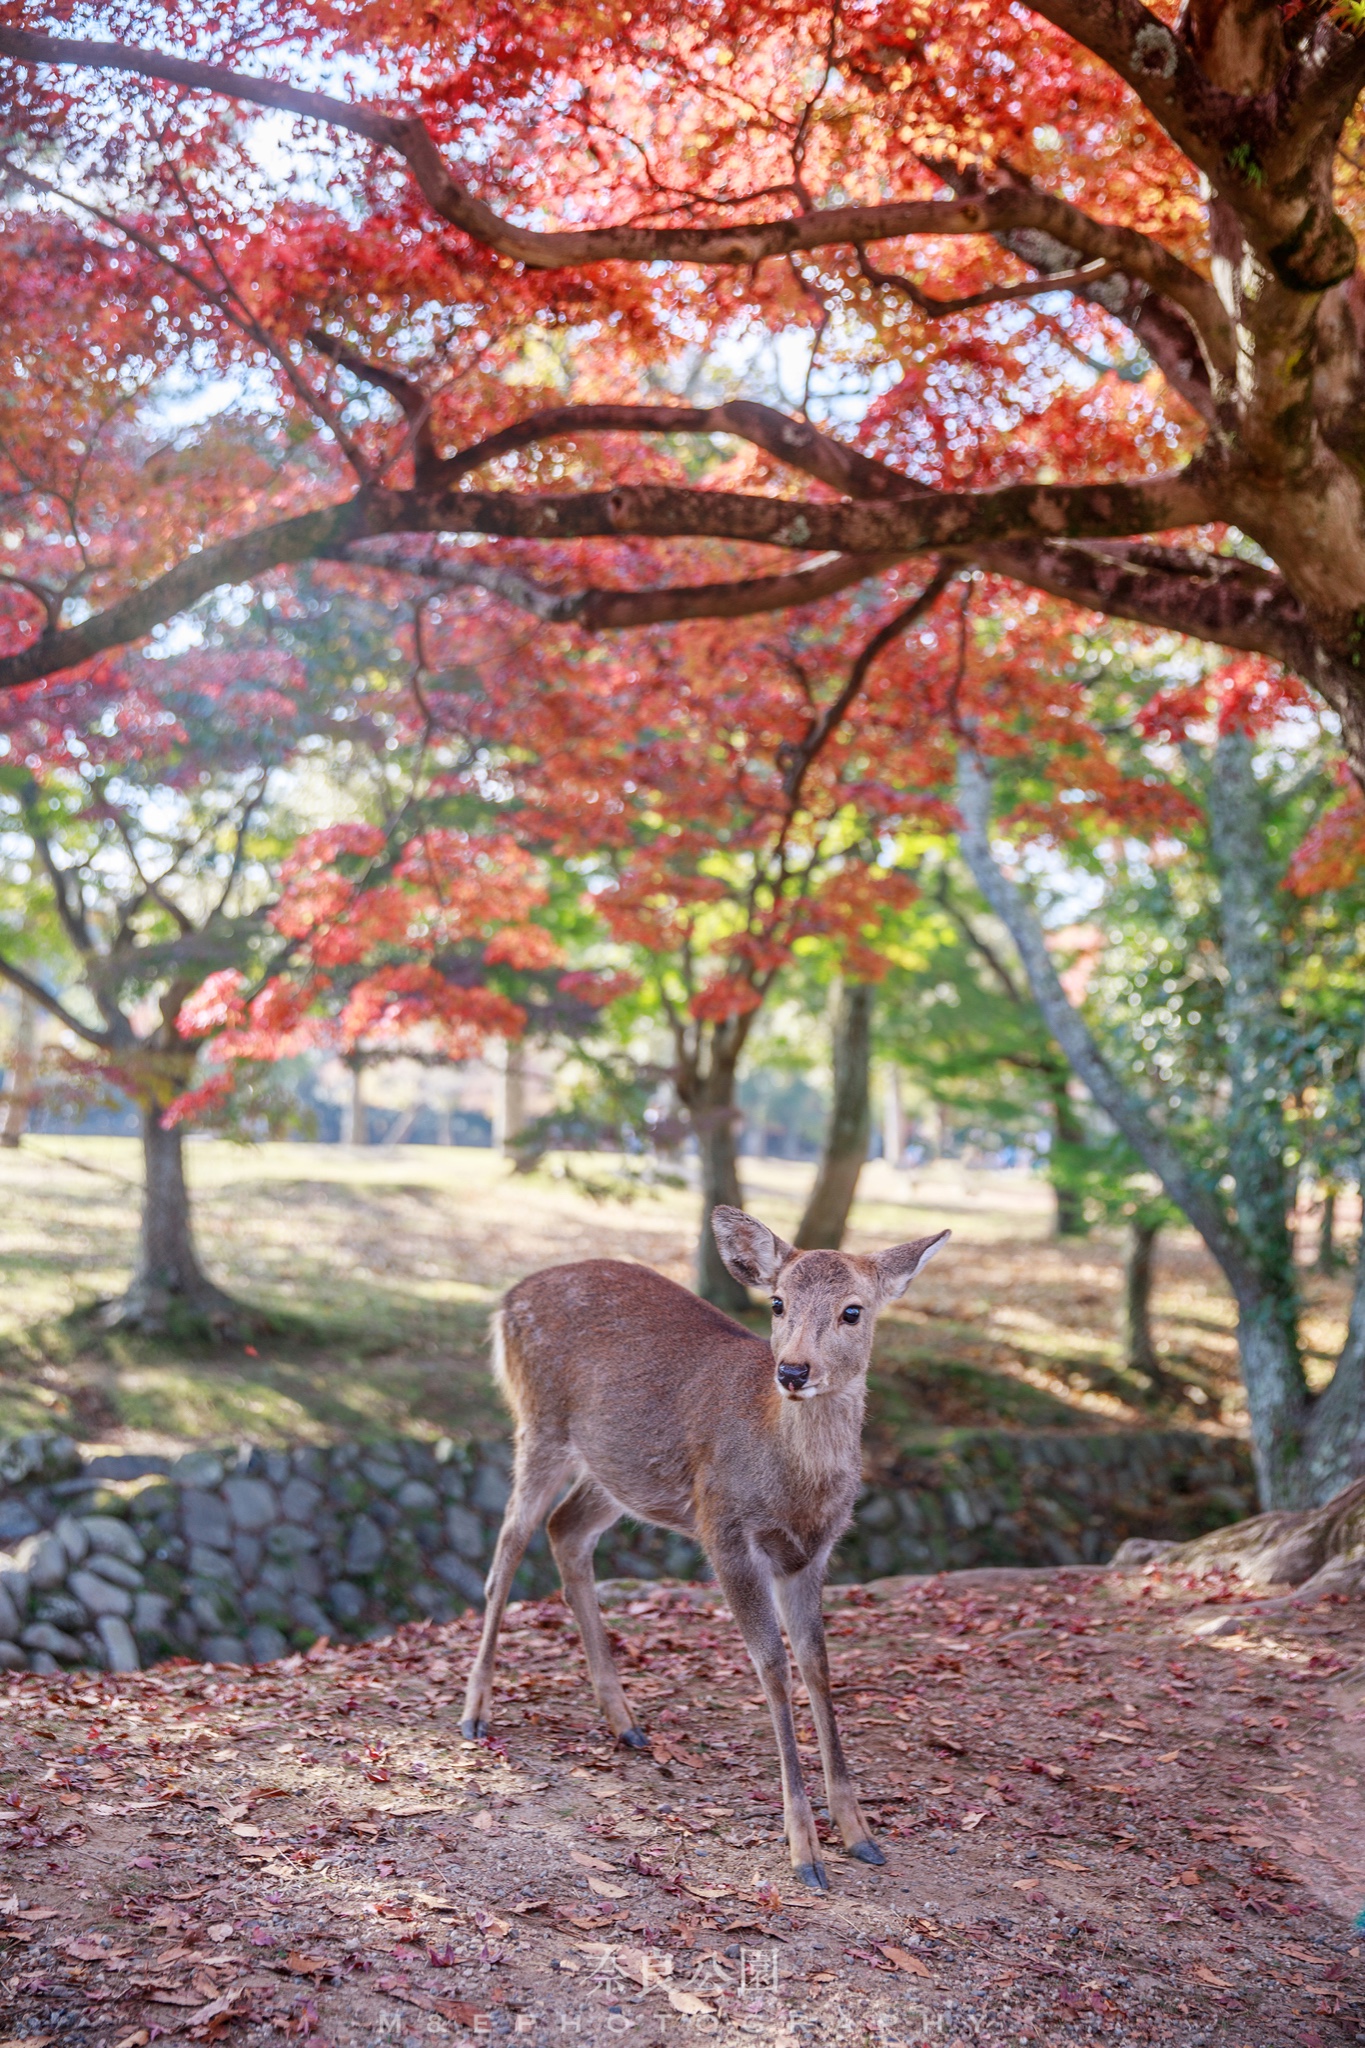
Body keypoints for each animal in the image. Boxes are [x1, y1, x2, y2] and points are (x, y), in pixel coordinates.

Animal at [458, 1196, 949, 1884]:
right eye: (777, 1302)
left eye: (854, 1310)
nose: (792, 1371)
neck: (795, 1487)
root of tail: (506, 1299)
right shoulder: (726, 1531)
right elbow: (772, 1666)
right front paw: (804, 1851)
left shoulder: (813, 1553)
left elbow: (818, 1663)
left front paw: (860, 1833)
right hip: (540, 1423)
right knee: (506, 1546)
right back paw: (474, 1712)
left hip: (620, 1472)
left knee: (566, 1530)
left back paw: (625, 1723)